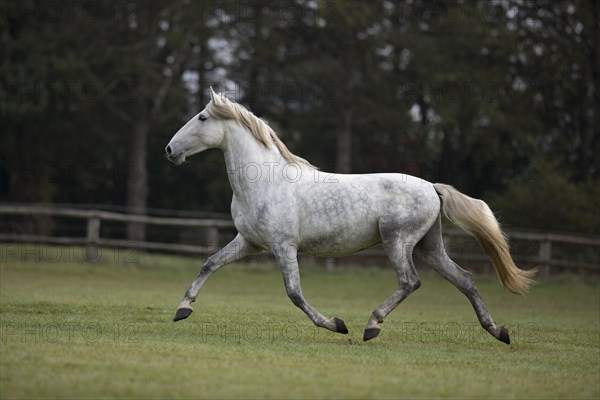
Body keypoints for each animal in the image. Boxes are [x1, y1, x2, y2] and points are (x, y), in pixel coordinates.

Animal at [164, 90, 536, 344]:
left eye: (202, 118)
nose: (169, 150)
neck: (265, 181)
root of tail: (432, 187)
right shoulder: (248, 243)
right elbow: (209, 264)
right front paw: (183, 309)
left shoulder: (283, 247)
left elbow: (294, 293)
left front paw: (336, 324)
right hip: (428, 247)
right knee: (465, 279)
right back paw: (498, 330)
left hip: (397, 241)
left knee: (410, 282)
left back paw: (371, 326)